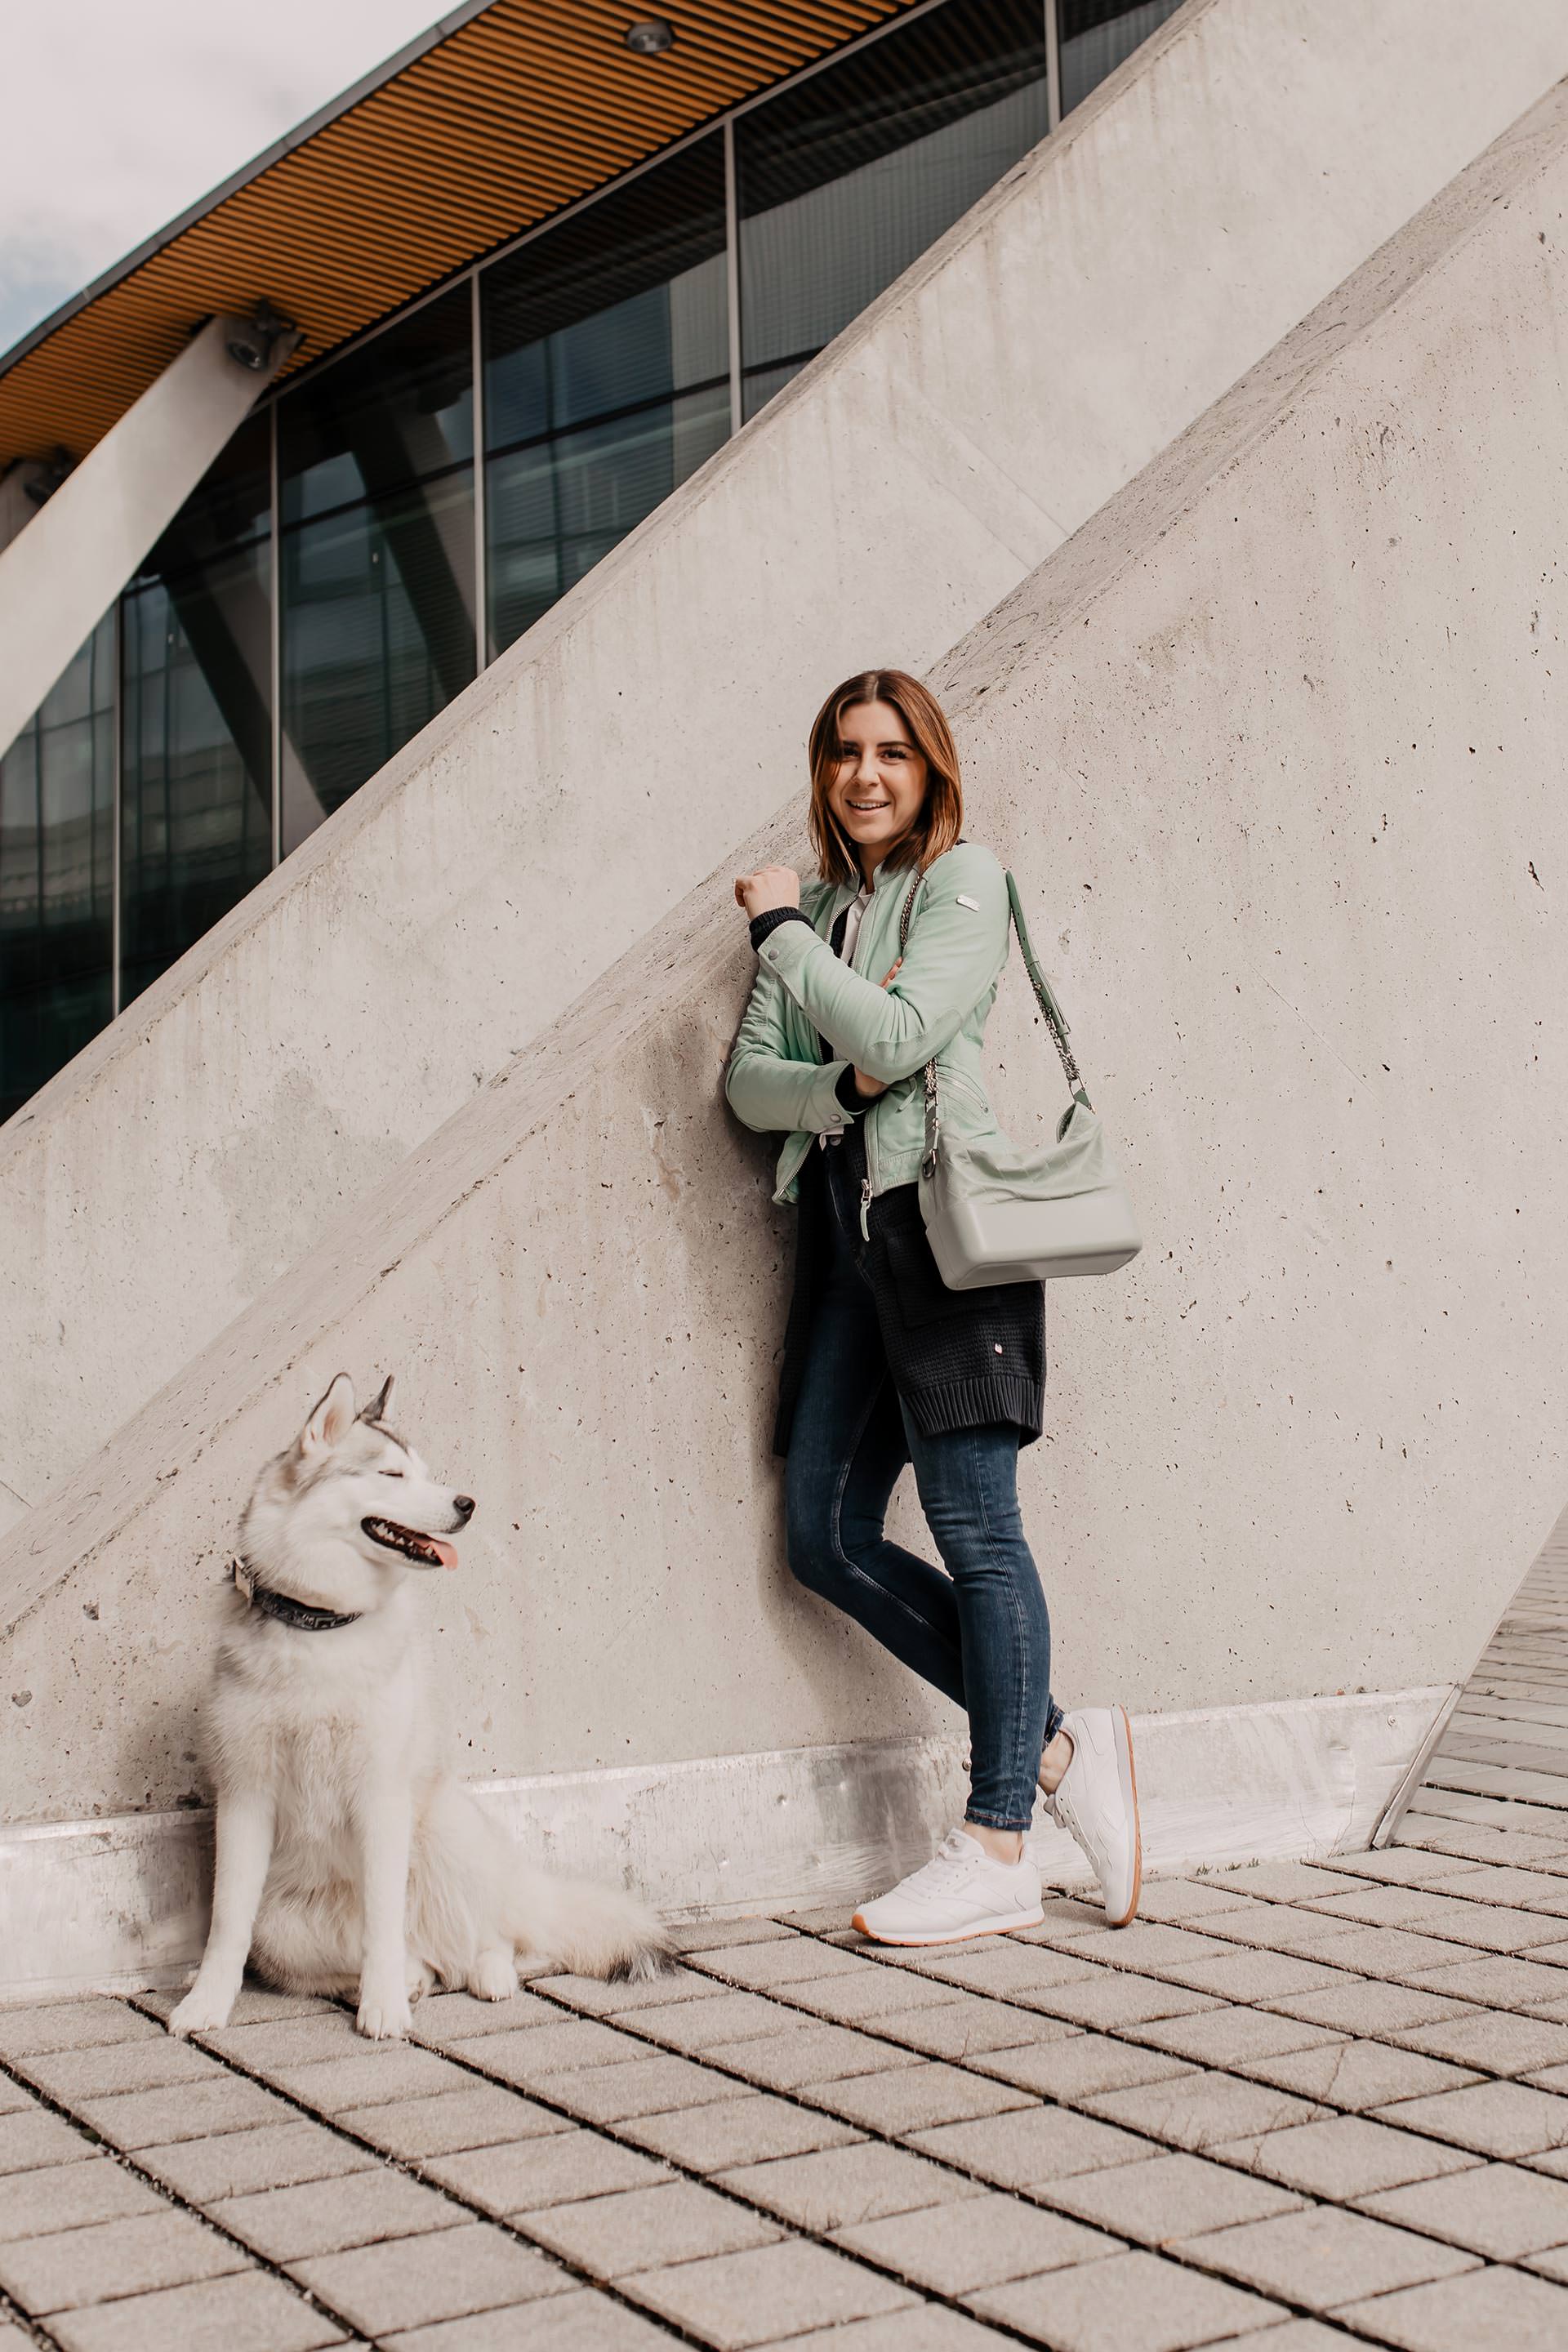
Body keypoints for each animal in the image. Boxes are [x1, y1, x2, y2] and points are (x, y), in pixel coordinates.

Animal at [172, 1373, 677, 2041]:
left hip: (447, 1833)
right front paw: (206, 2001)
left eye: (427, 1474)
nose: (467, 1503)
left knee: (494, 1939)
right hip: (283, 1928)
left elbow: (384, 1923)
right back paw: (407, 1978)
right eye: (391, 1475)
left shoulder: (382, 1797)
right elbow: (228, 1925)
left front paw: (383, 2005)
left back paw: (486, 1974)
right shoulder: (244, 1795)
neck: (321, 1627)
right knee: (414, 1963)